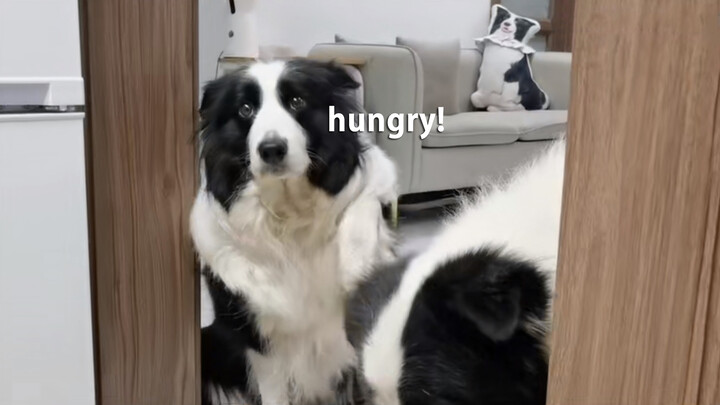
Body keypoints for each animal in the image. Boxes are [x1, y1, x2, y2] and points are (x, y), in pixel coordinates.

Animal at [191, 60, 394, 404]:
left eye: (297, 102)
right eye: (245, 109)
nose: (272, 149)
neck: (290, 214)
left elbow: (365, 199)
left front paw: (355, 262)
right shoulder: (259, 342)